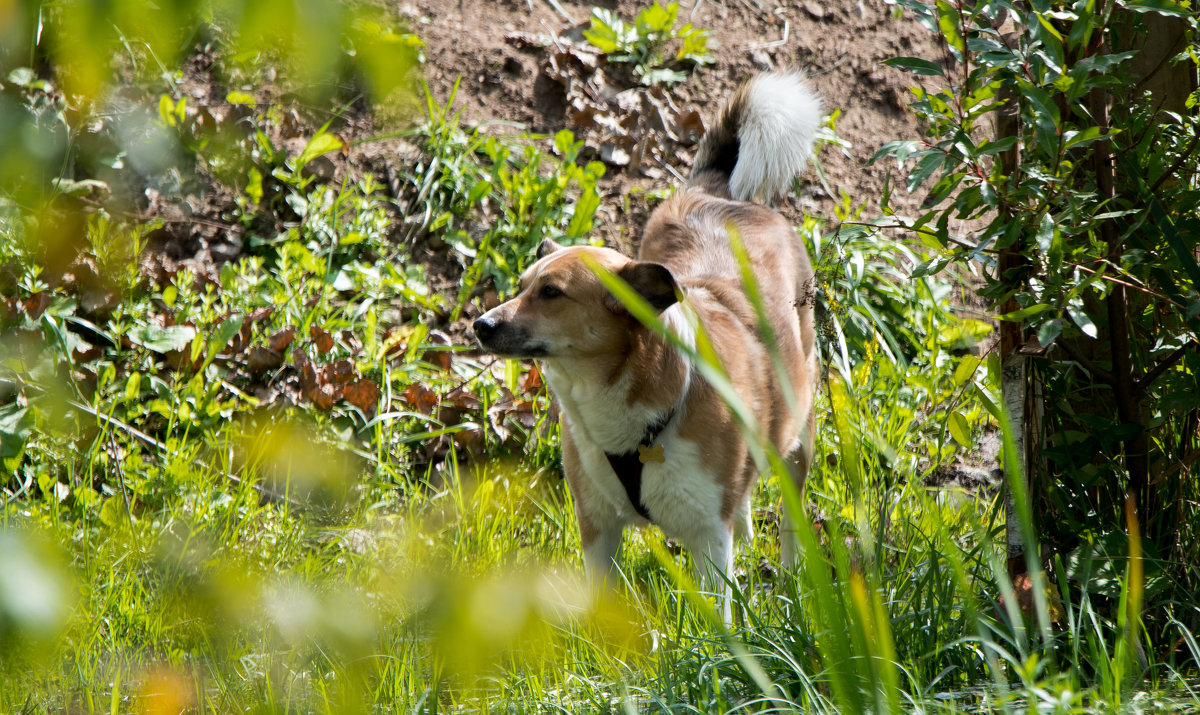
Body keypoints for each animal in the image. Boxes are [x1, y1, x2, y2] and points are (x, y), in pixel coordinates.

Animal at [472, 72, 820, 619]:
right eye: (523, 285)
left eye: (552, 293)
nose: (480, 325)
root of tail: (718, 193)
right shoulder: (597, 525)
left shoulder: (709, 540)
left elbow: (718, 620)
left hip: (799, 432)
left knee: (789, 516)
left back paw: (789, 582)